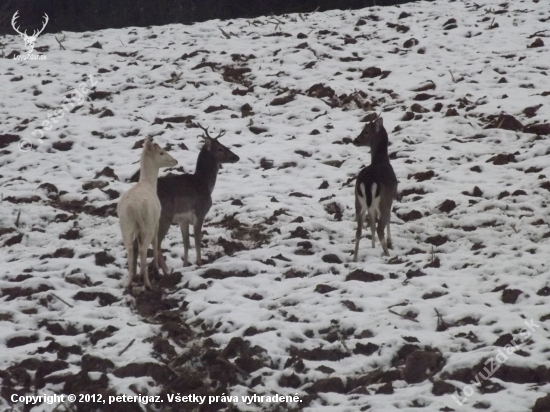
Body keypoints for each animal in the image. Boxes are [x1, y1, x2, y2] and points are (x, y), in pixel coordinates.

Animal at [156, 123, 240, 270]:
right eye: (220, 148)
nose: (236, 157)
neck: (204, 183)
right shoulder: (200, 212)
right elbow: (197, 240)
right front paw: (199, 263)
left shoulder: (183, 220)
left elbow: (186, 242)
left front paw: (185, 264)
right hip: (164, 216)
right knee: (156, 245)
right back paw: (165, 271)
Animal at [356, 116, 398, 262]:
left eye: (366, 131)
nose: (355, 140)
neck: (382, 160)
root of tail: (368, 182)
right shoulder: (391, 197)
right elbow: (388, 220)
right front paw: (390, 241)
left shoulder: (371, 206)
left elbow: (372, 224)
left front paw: (373, 246)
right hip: (382, 201)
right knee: (380, 227)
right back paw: (388, 254)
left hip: (358, 202)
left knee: (359, 230)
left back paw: (354, 257)